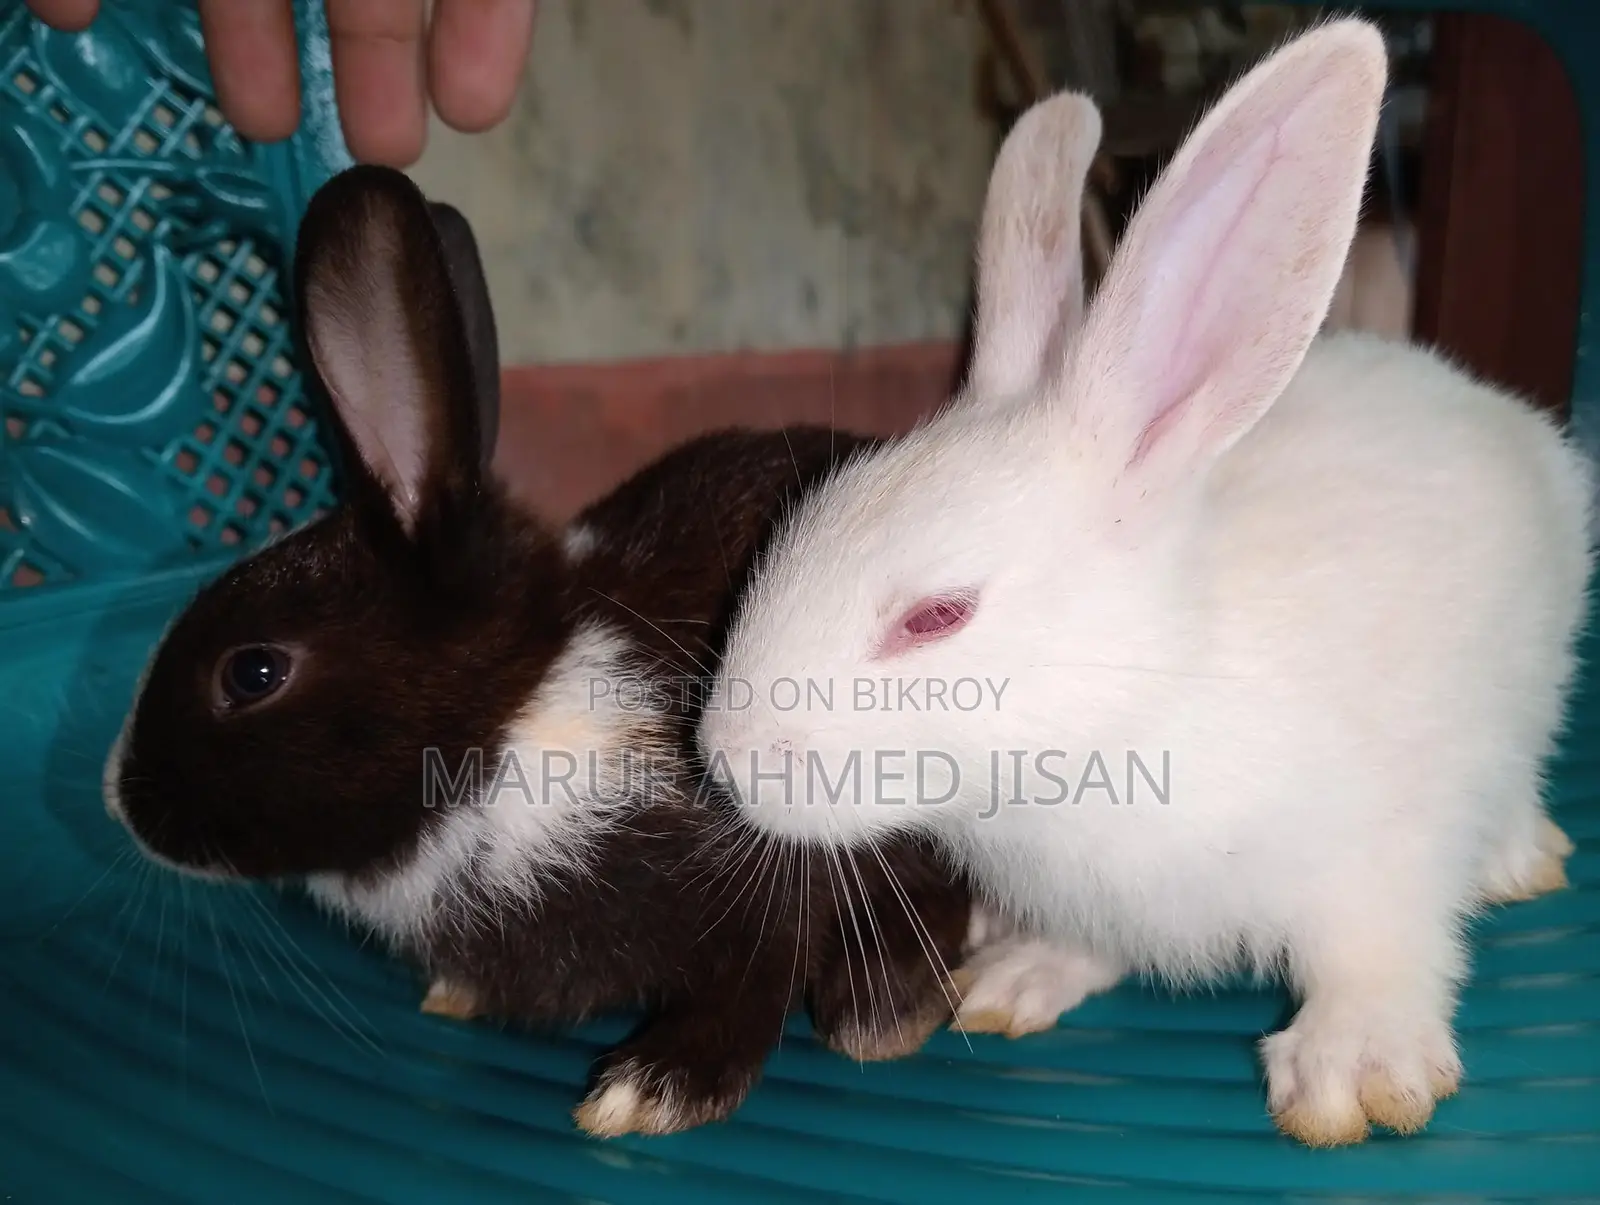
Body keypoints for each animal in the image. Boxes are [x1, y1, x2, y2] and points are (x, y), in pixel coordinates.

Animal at [100, 163, 977, 1139]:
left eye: (253, 671)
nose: (117, 800)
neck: (503, 728)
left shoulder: (770, 858)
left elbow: (756, 976)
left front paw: (645, 1094)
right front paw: (458, 995)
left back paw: (883, 1015)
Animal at [696, 17, 1595, 1148]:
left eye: (936, 616)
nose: (722, 760)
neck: (1135, 700)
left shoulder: (1378, 856)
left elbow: (1379, 951)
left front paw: (1351, 1071)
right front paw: (1017, 977)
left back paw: (1521, 859)